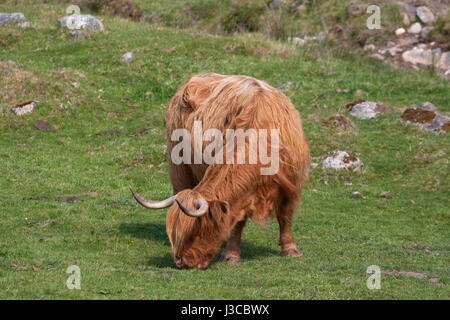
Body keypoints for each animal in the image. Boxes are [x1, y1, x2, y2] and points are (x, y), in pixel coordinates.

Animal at [130, 73, 310, 270]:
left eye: (197, 230)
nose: (179, 262)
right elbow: (238, 221)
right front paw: (231, 255)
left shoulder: (291, 183)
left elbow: (285, 215)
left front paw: (291, 249)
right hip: (178, 167)